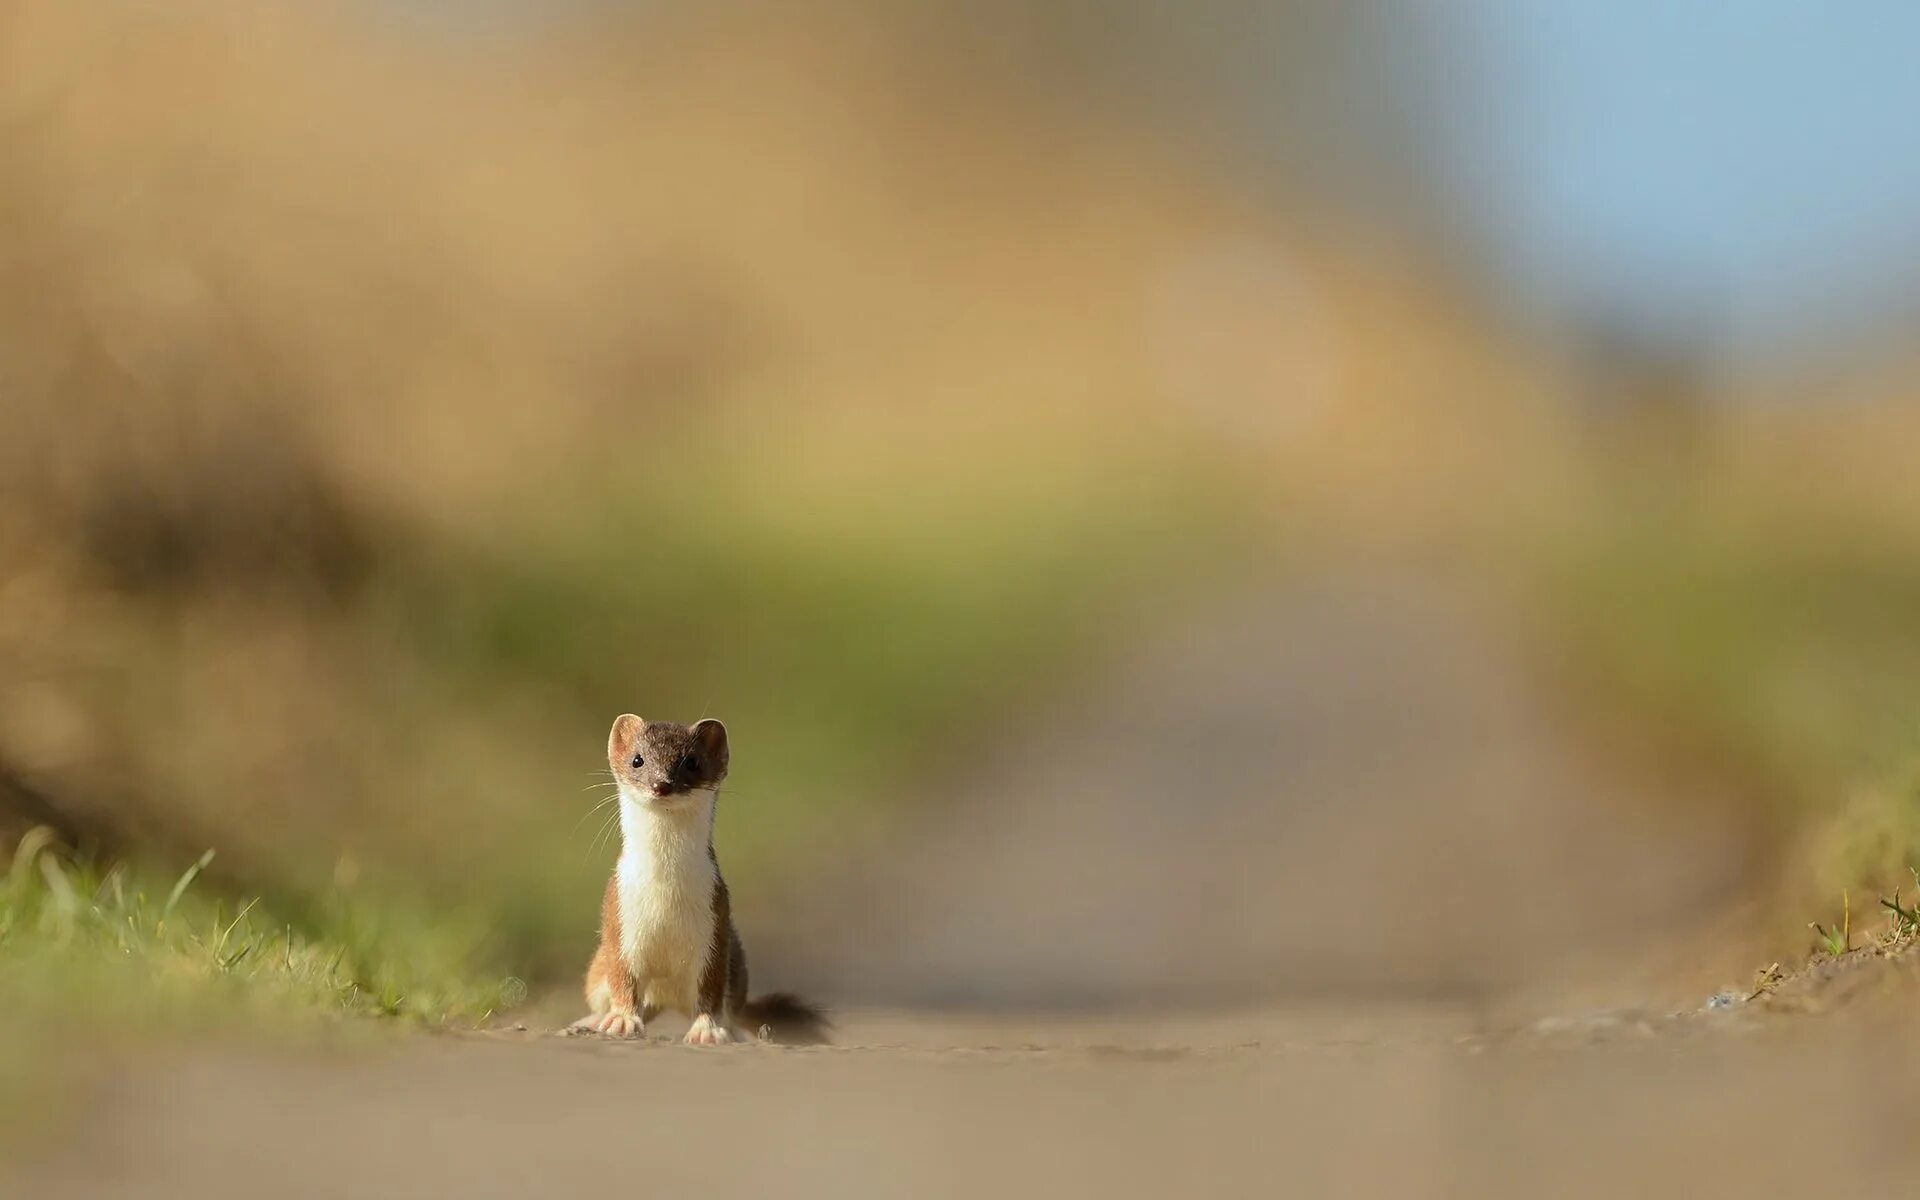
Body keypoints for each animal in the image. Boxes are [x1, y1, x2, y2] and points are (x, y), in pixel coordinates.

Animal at [560, 714, 817, 1044]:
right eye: (637, 759)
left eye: (692, 762)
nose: (661, 784)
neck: (665, 889)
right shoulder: (619, 915)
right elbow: (623, 977)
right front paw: (621, 1021)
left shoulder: (714, 924)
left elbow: (709, 990)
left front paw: (707, 1030)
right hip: (596, 967)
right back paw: (591, 1021)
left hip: (737, 964)